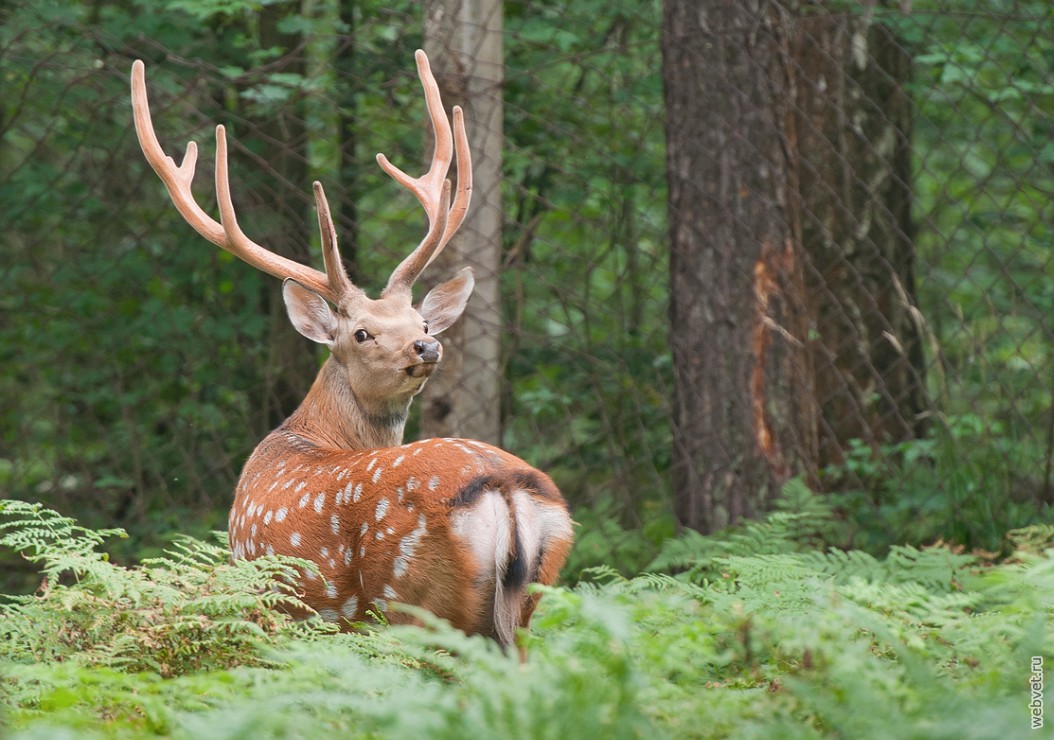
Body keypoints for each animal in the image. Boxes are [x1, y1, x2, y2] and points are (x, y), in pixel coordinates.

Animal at [131, 52, 577, 653]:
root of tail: (507, 492)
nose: (427, 343)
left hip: (416, 604)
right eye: (362, 333)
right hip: (529, 603)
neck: (307, 434)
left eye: (421, 320)